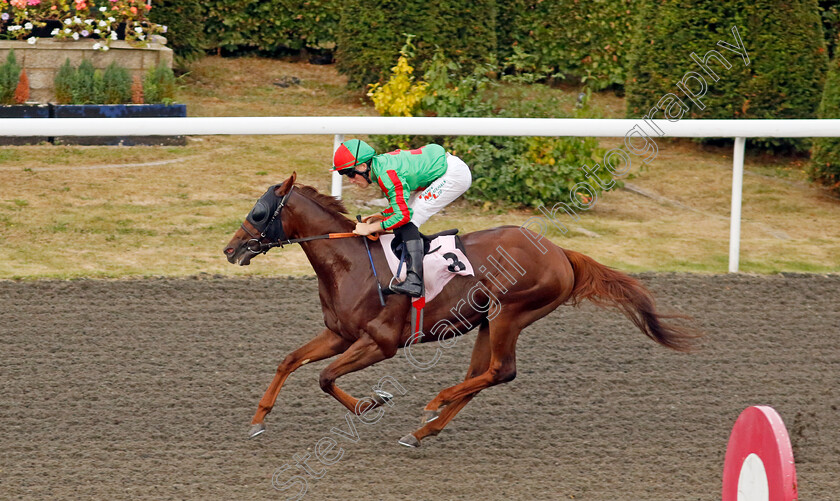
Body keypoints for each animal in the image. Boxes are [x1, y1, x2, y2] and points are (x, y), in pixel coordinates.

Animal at [221, 173, 696, 446]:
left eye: (259, 212)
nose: (230, 249)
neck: (351, 261)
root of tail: (561, 252)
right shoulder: (340, 334)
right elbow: (290, 361)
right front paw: (258, 419)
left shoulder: (380, 342)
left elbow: (324, 377)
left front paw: (372, 403)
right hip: (488, 321)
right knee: (481, 376)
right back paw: (424, 430)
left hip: (510, 314)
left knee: (501, 372)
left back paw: (434, 403)